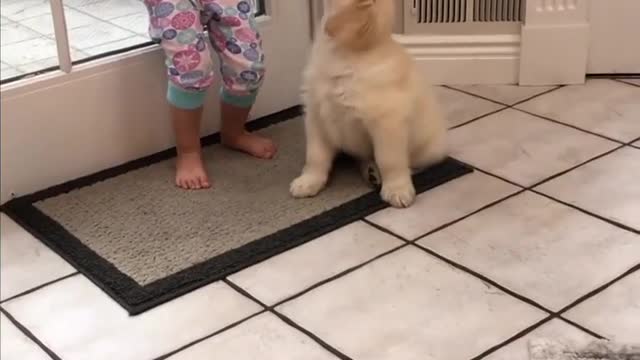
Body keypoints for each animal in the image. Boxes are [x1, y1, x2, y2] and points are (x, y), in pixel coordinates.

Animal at [290, 0, 444, 208]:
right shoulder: (316, 116)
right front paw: (308, 181)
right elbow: (315, 156)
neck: (345, 57)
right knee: (362, 156)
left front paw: (397, 189)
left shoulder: (387, 122)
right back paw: (370, 171)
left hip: (431, 149)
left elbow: (390, 160)